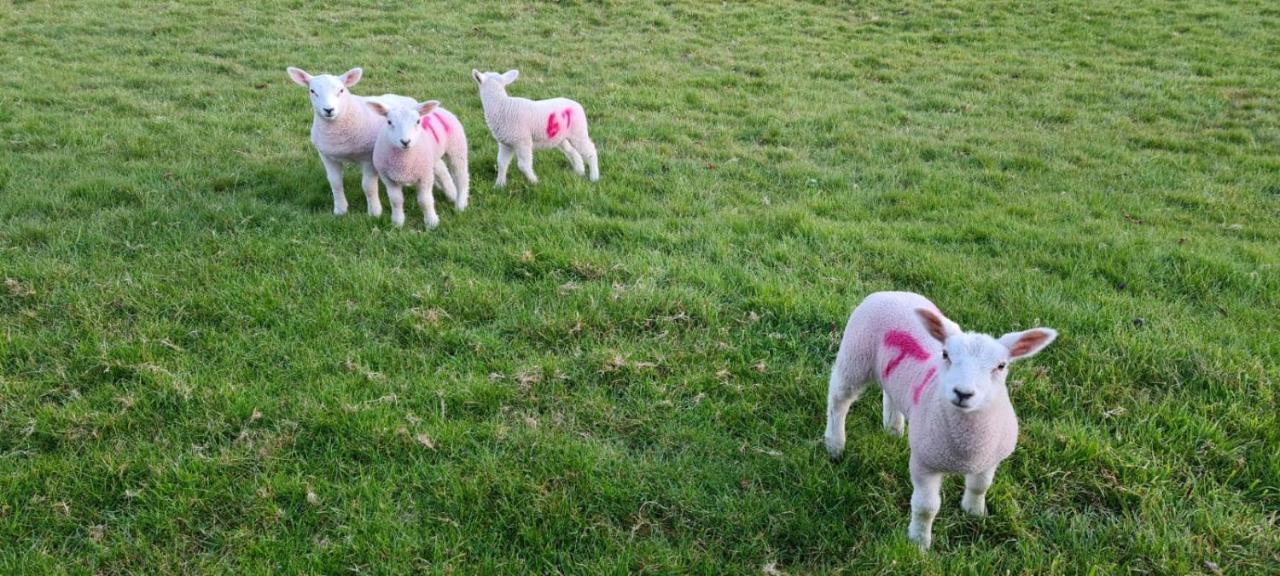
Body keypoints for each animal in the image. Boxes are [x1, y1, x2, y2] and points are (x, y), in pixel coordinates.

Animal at [285, 65, 414, 218]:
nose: (329, 110)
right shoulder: (327, 156)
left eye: (341, 90)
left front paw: (374, 212)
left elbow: (368, 186)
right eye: (312, 91)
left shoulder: (368, 157)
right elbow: (335, 183)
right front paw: (340, 209)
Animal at [366, 99, 471, 227]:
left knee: (461, 176)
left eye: (418, 121)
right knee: (443, 170)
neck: (403, 163)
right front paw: (397, 222)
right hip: (433, 157)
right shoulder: (388, 179)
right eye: (389, 122)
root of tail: (440, 109)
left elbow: (424, 201)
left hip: (457, 148)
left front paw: (432, 222)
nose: (405, 141)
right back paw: (452, 195)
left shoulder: (425, 176)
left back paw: (460, 204)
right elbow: (396, 200)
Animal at [471, 68, 599, 186]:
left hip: (579, 132)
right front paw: (499, 185)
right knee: (572, 151)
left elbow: (523, 165)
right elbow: (501, 163)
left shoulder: (522, 141)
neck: (501, 105)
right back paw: (580, 171)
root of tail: (578, 105)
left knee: (590, 151)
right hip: (562, 137)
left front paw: (534, 181)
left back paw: (594, 177)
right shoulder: (506, 143)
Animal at [824, 290, 1054, 550]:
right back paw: (835, 445)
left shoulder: (989, 459)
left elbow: (979, 486)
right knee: (838, 400)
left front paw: (975, 512)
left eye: (1001, 366)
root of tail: (890, 293)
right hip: (854, 356)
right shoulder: (925, 463)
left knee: (890, 393)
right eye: (945, 355)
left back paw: (893, 430)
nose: (963, 393)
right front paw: (919, 543)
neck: (966, 450)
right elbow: (926, 508)